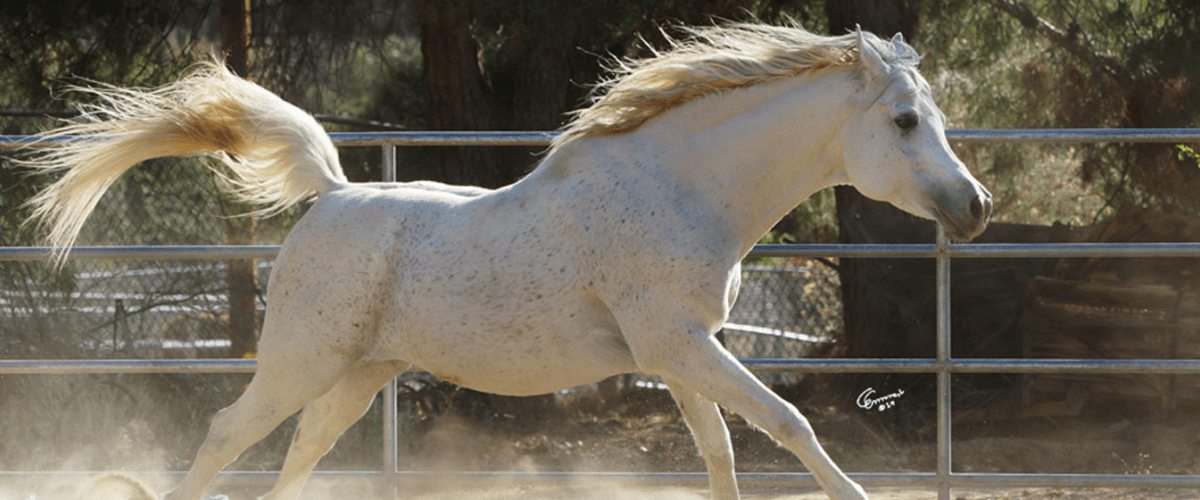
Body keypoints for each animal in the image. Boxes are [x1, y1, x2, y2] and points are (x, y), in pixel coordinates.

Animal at [21, 22, 991, 500]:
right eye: (905, 120)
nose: (976, 208)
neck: (680, 189)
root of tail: (332, 194)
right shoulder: (680, 346)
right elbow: (791, 426)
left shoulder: (682, 353)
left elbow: (720, 456)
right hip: (302, 359)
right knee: (229, 433)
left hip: (359, 374)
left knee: (300, 452)